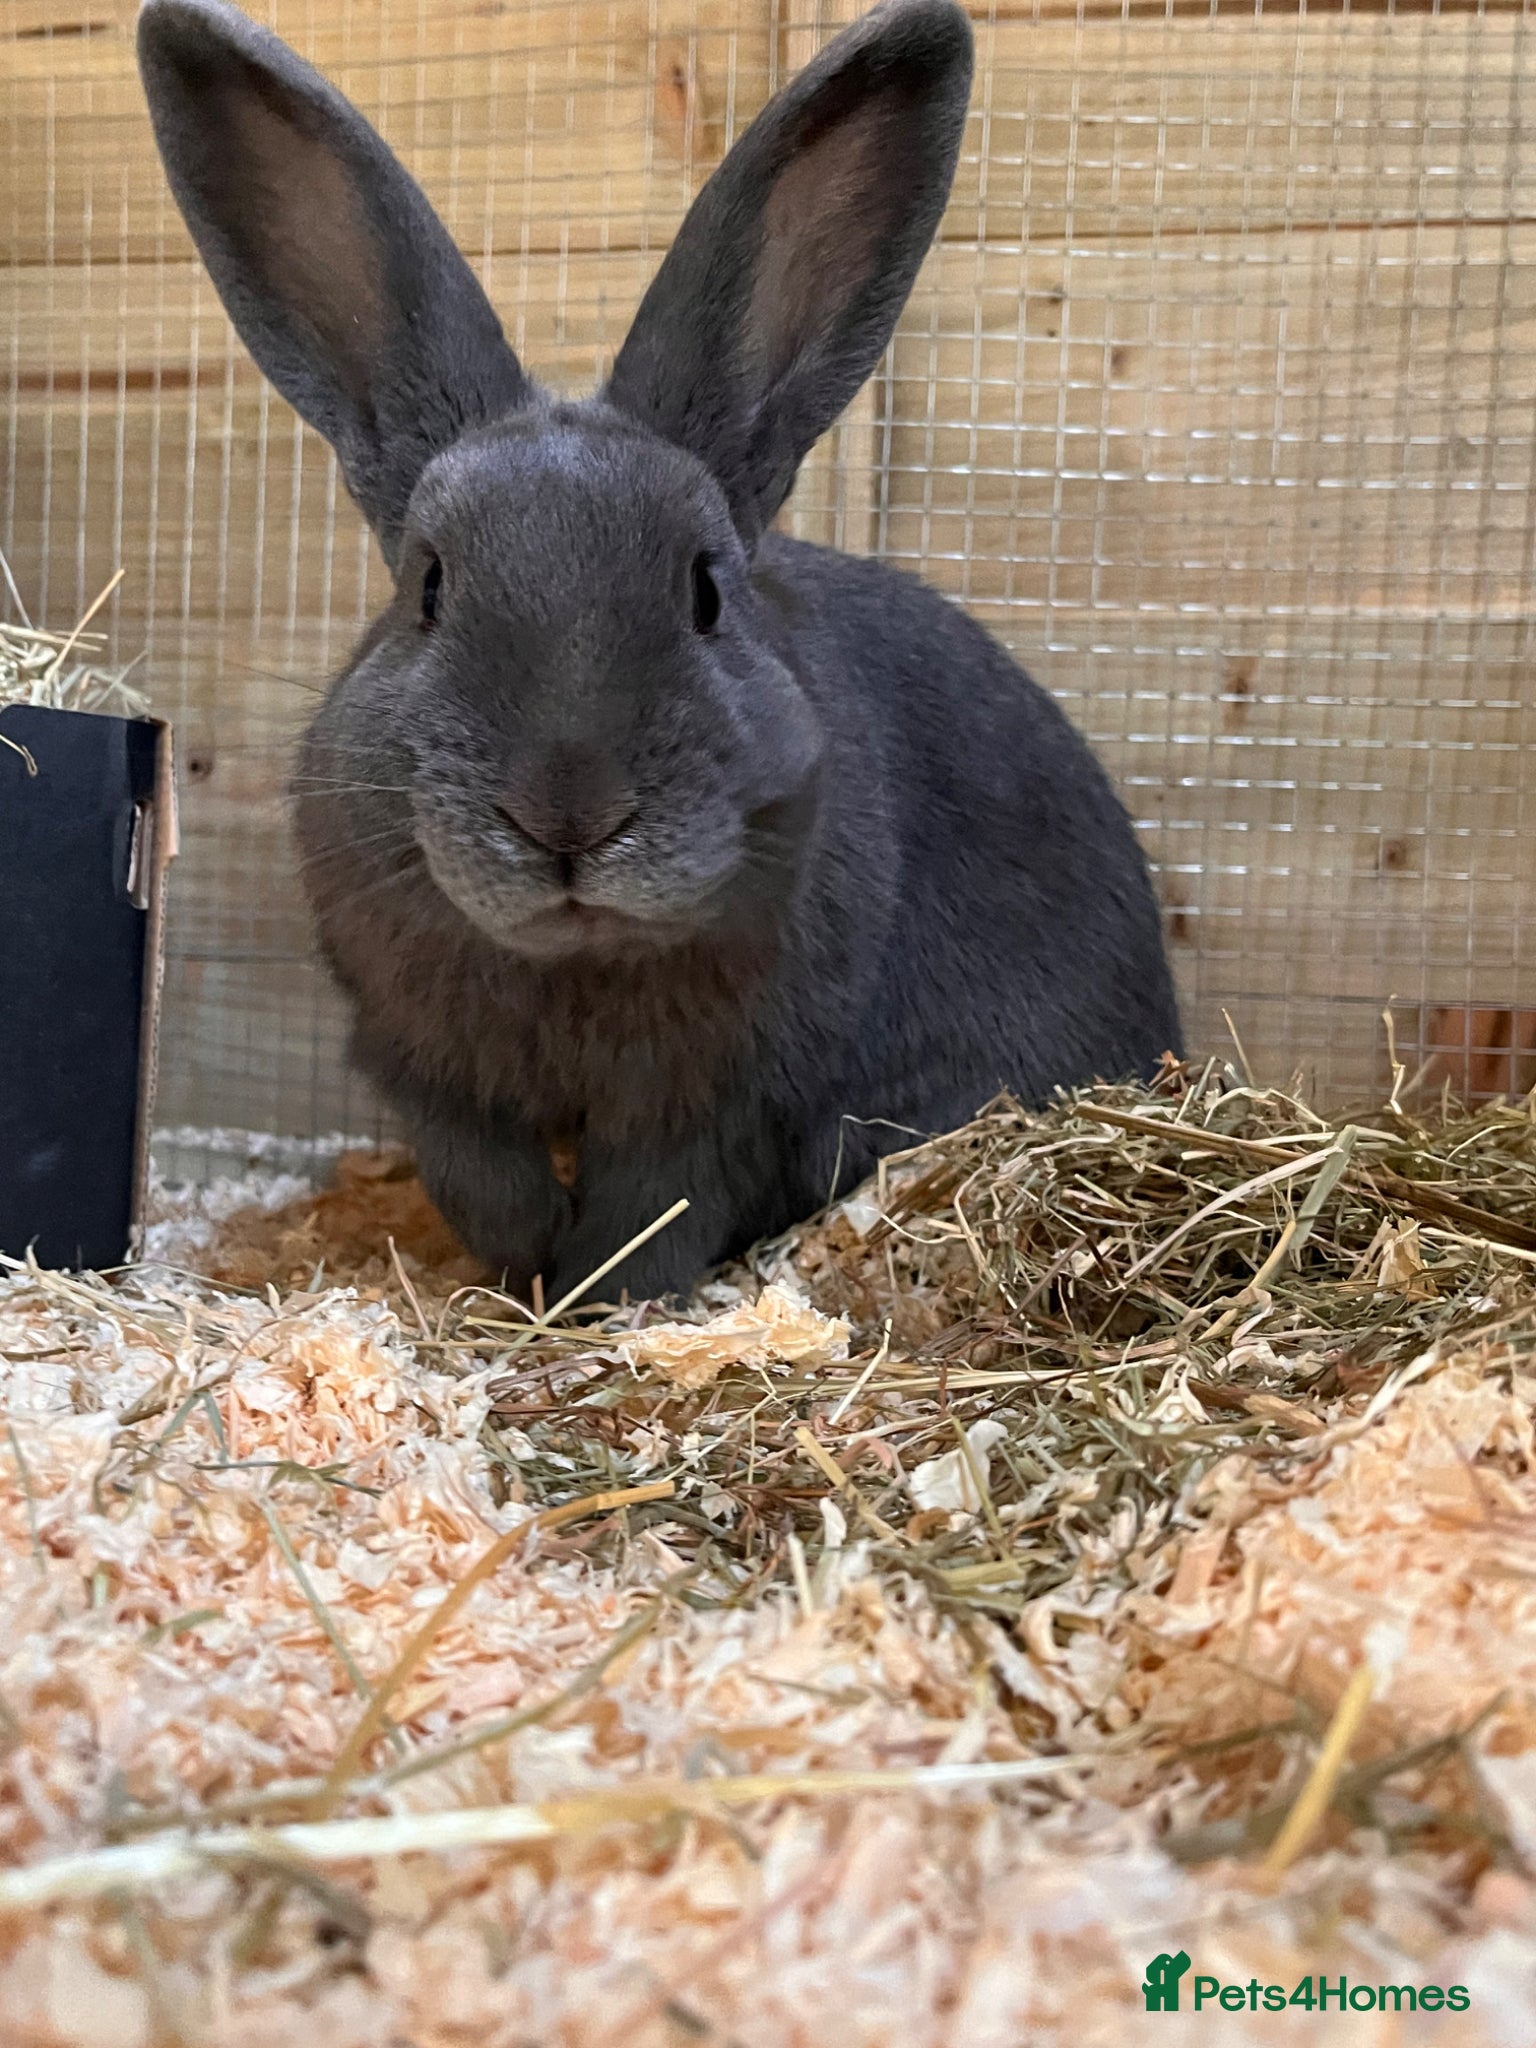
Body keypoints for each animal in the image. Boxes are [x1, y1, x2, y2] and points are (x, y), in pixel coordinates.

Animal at [138, 0, 1182, 1303]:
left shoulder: (724, 1098)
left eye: (706, 593)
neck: (574, 964)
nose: (567, 815)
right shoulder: (428, 1072)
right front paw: (522, 1274)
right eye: (428, 586)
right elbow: (484, 1179)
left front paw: (596, 1297)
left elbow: (655, 1206)